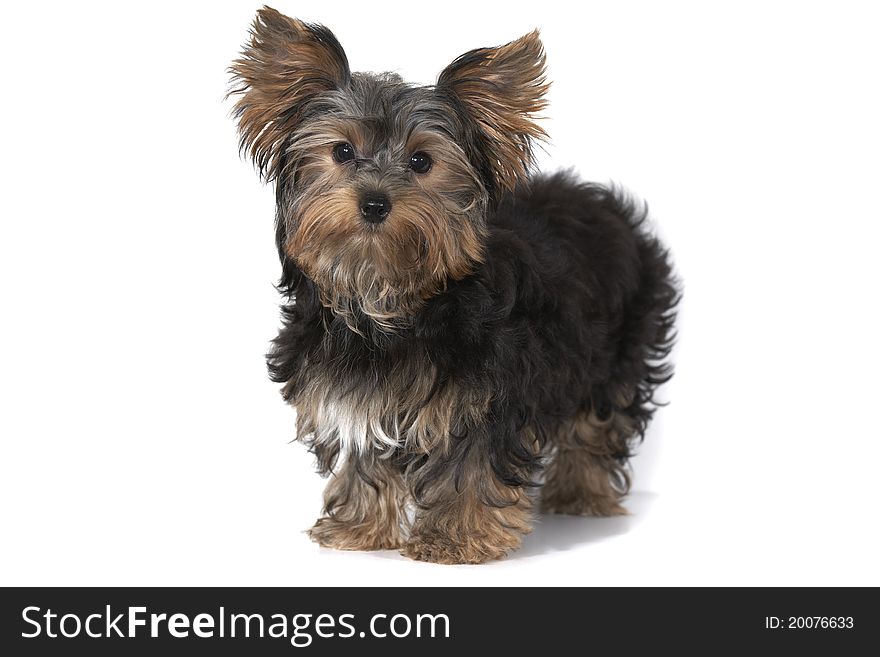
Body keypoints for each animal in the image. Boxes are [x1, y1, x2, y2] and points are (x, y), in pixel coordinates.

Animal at [230, 6, 676, 564]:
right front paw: (360, 528)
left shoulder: (487, 391)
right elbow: (364, 451)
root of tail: (601, 201)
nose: (374, 202)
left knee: (599, 418)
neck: (389, 295)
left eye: (422, 161)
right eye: (342, 151)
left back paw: (582, 493)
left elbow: (472, 462)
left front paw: (456, 540)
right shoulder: (350, 387)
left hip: (617, 345)